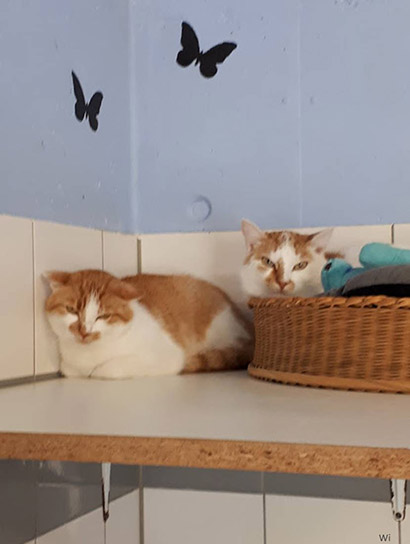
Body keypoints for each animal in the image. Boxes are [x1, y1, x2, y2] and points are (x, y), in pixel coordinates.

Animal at [44, 269, 253, 379]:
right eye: (71, 310)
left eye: (103, 316)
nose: (84, 331)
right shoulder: (68, 366)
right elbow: (69, 369)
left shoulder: (167, 356)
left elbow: (106, 370)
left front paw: (97, 371)